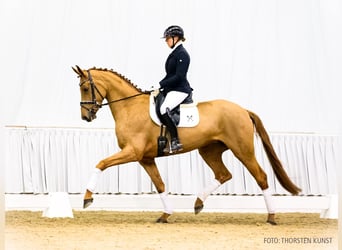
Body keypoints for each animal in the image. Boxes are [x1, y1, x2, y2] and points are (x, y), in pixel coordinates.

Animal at [73, 65, 302, 225]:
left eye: (84, 88)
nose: (85, 117)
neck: (130, 107)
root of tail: (243, 110)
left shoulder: (132, 152)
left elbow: (101, 163)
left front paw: (87, 198)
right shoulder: (146, 158)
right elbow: (160, 185)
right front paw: (165, 215)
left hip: (242, 150)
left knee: (260, 177)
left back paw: (271, 217)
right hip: (209, 150)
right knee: (223, 174)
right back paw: (198, 203)